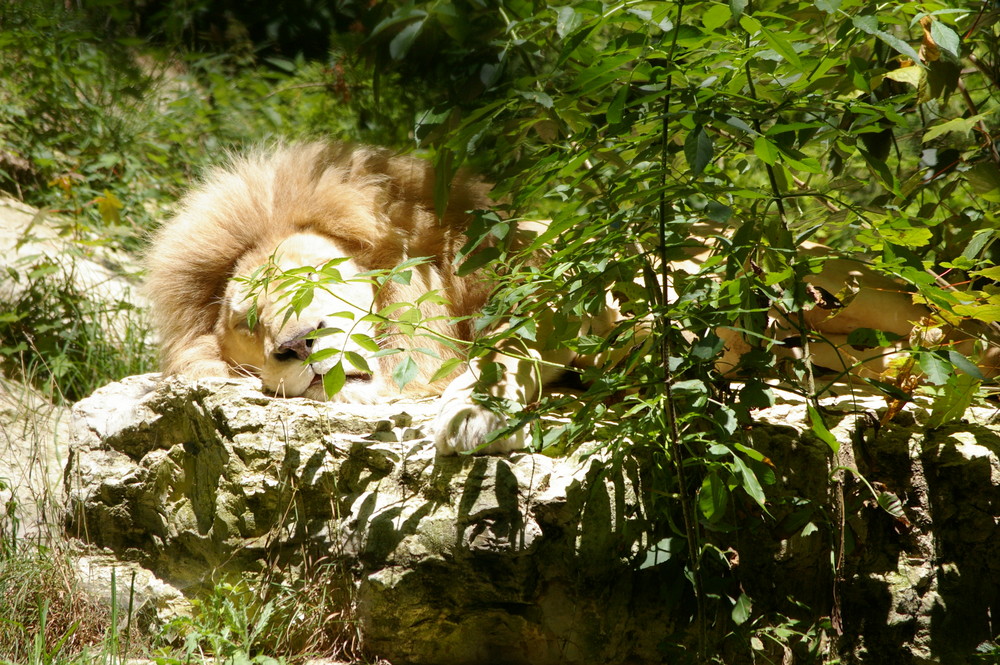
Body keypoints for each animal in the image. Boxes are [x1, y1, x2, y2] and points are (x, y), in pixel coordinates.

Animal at [148, 138, 1000, 454]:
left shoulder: (572, 287)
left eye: (292, 284)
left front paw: (465, 411)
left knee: (951, 322)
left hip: (841, 282)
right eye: (251, 336)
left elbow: (512, 348)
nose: (294, 350)